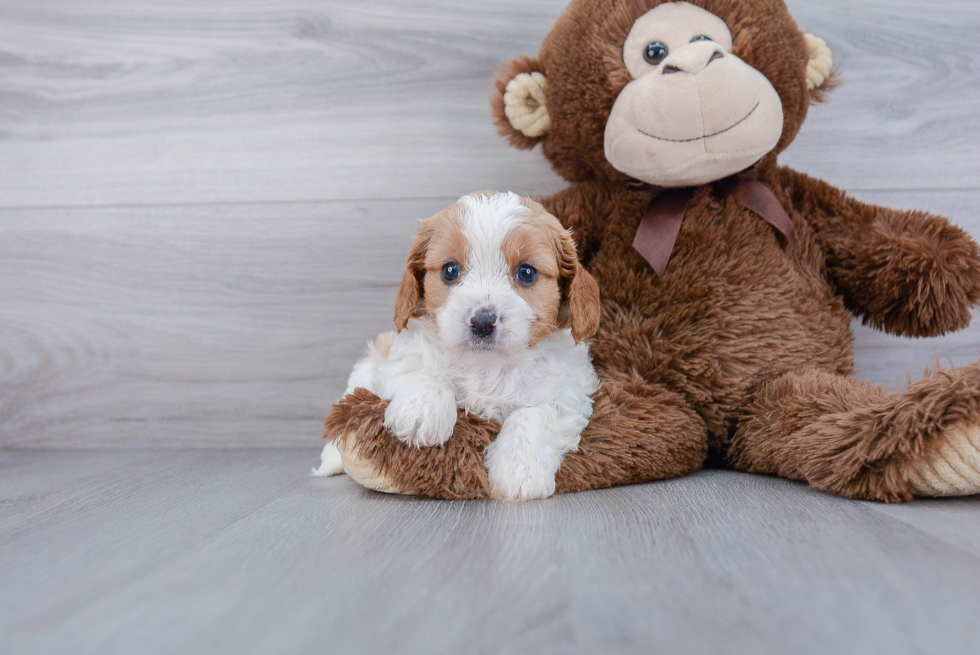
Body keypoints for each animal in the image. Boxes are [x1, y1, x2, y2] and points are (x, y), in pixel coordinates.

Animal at [318, 192, 600, 500]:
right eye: (450, 271)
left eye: (526, 272)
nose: (483, 321)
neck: (486, 366)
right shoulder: (398, 358)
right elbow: (422, 369)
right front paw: (421, 412)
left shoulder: (568, 393)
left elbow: (533, 414)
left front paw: (520, 470)